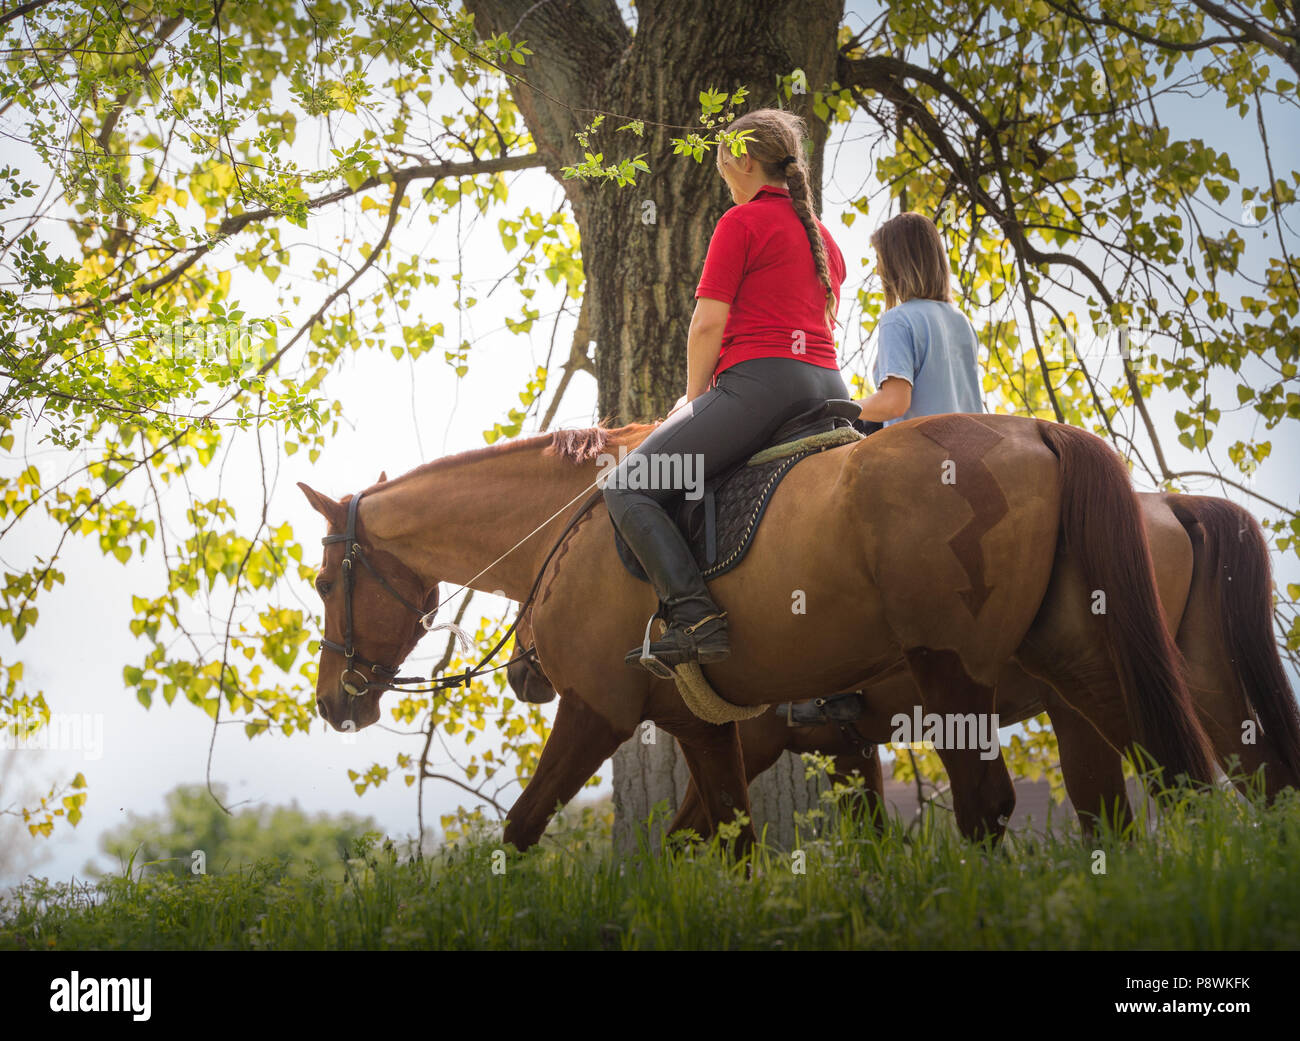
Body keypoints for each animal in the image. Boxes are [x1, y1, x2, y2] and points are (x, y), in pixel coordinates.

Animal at [299, 412, 1219, 855]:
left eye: (322, 583)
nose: (333, 703)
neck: (572, 522)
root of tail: (1039, 431)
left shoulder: (598, 709)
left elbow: (523, 826)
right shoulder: (703, 725)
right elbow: (729, 841)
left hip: (957, 669)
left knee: (991, 806)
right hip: (1079, 667)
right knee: (1167, 779)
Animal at [507, 491, 1300, 839]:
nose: (523, 671)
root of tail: (1172, 506)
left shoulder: (735, 735)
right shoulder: (838, 748)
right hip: (1190, 683)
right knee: (1251, 779)